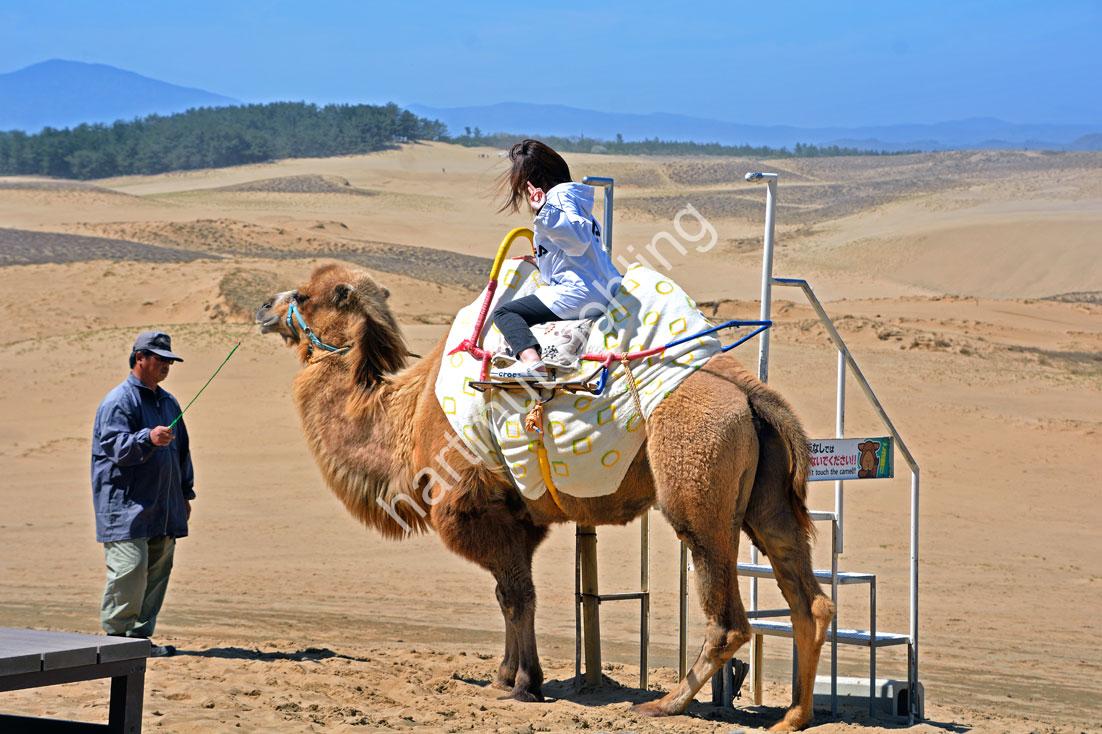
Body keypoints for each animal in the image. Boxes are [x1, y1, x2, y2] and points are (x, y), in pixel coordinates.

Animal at [255, 263, 834, 731]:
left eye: (303, 295)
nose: (264, 307)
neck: (405, 415)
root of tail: (749, 393)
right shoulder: (519, 517)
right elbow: (514, 597)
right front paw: (507, 676)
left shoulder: (474, 509)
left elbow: (516, 597)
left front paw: (523, 684)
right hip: (766, 497)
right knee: (808, 594)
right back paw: (795, 716)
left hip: (697, 481)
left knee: (728, 613)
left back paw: (664, 704)